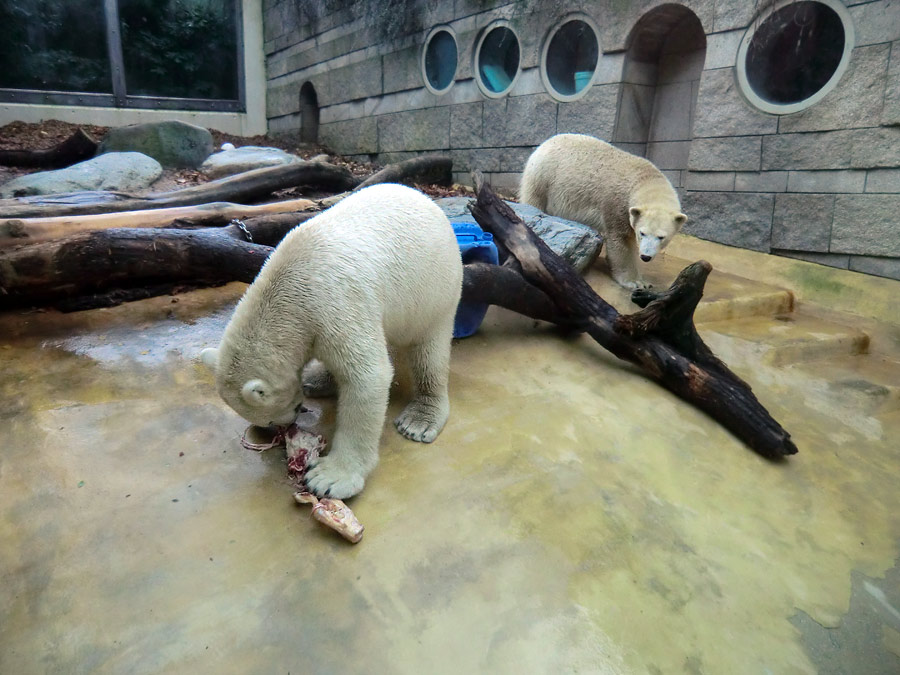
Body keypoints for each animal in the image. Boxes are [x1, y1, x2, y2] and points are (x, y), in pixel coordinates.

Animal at [200, 182, 460, 500]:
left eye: (272, 419)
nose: (286, 424)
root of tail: (429, 202)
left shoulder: (332, 303)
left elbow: (368, 377)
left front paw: (330, 477)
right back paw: (318, 379)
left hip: (433, 288)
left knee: (429, 349)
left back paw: (419, 419)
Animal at [516, 133, 684, 290]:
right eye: (642, 233)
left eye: (661, 237)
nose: (645, 256)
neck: (644, 178)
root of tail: (544, 143)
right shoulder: (617, 204)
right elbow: (621, 240)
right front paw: (636, 282)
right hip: (543, 176)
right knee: (533, 200)